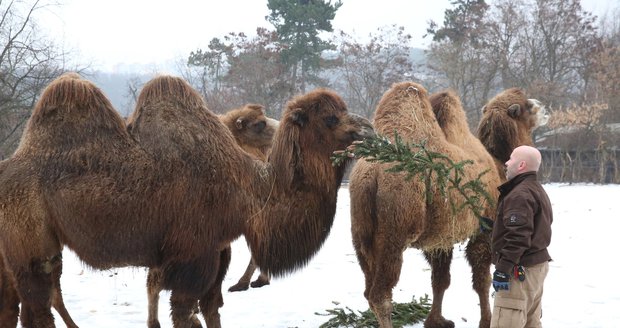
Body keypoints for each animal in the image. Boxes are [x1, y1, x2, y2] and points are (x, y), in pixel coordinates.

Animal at [348, 82, 548, 328]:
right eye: (527, 106)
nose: (542, 106)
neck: (498, 165)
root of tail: (371, 175)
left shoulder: (440, 239)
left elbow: (440, 280)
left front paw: (437, 320)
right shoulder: (484, 230)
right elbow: (481, 280)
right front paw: (486, 320)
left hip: (361, 233)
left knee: (368, 290)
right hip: (395, 231)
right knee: (380, 294)